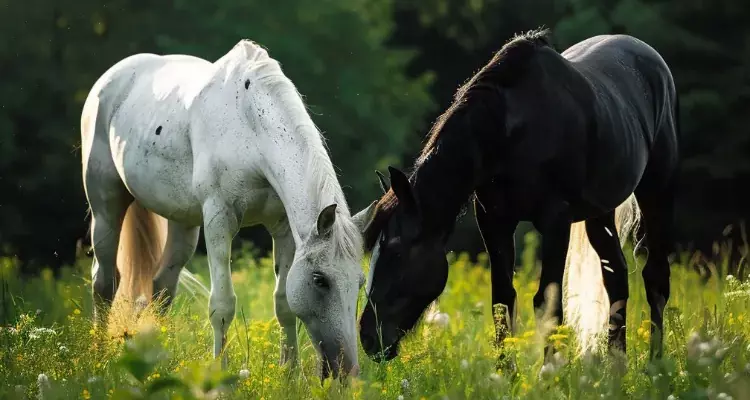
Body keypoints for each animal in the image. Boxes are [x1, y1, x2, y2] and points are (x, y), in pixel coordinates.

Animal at [81, 39, 374, 378]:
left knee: (162, 286)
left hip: (183, 224)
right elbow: (222, 305)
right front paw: (219, 375)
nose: (347, 370)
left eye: (359, 282)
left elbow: (284, 303)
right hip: (106, 209)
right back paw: (98, 358)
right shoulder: (218, 221)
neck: (249, 127)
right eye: (319, 280)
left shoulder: (283, 229)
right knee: (105, 282)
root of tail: (110, 79)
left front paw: (289, 375)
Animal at [356, 29, 680, 362]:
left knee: (655, 278)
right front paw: (505, 370)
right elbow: (502, 300)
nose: (367, 337)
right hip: (599, 211)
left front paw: (549, 370)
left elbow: (548, 303)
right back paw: (616, 364)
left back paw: (654, 362)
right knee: (616, 277)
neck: (510, 130)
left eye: (396, 252)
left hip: (657, 191)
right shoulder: (494, 221)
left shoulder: (555, 221)